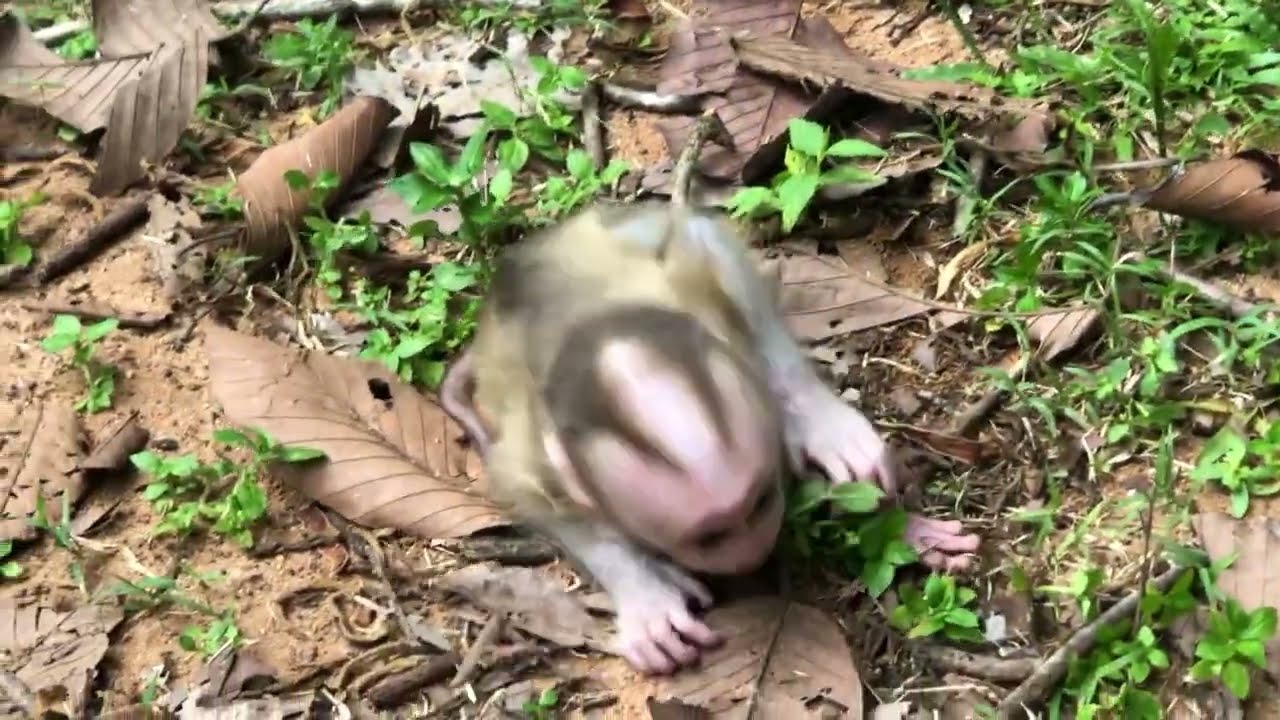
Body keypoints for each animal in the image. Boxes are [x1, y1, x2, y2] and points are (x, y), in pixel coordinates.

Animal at [439, 202, 980, 675]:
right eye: (711, 536)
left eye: (759, 503)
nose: (756, 550)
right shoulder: (533, 456)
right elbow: (526, 496)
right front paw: (644, 594)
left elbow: (713, 252)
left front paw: (823, 425)